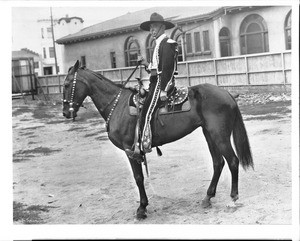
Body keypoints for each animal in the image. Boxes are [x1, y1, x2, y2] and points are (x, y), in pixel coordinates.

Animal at [62, 60, 253, 220]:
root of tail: (226, 93)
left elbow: (138, 177)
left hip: (219, 136)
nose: (65, 112)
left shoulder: (130, 150)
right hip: (209, 134)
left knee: (233, 161)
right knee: (218, 163)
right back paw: (207, 197)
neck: (118, 105)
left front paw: (142, 208)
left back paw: (233, 198)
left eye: (66, 84)